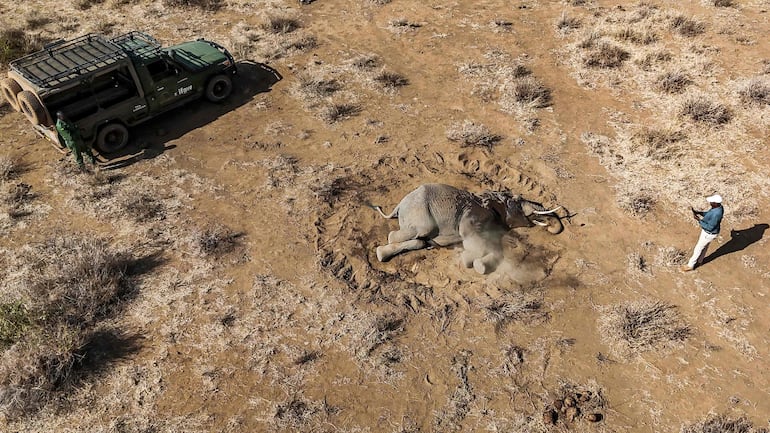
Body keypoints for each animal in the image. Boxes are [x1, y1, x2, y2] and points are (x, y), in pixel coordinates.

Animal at [371, 183, 563, 274]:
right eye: (517, 200)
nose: (548, 225)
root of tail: (398, 206)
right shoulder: (472, 215)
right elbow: (470, 237)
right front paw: (470, 261)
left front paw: (476, 263)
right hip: (420, 212)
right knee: (409, 233)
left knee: (420, 242)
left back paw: (381, 254)